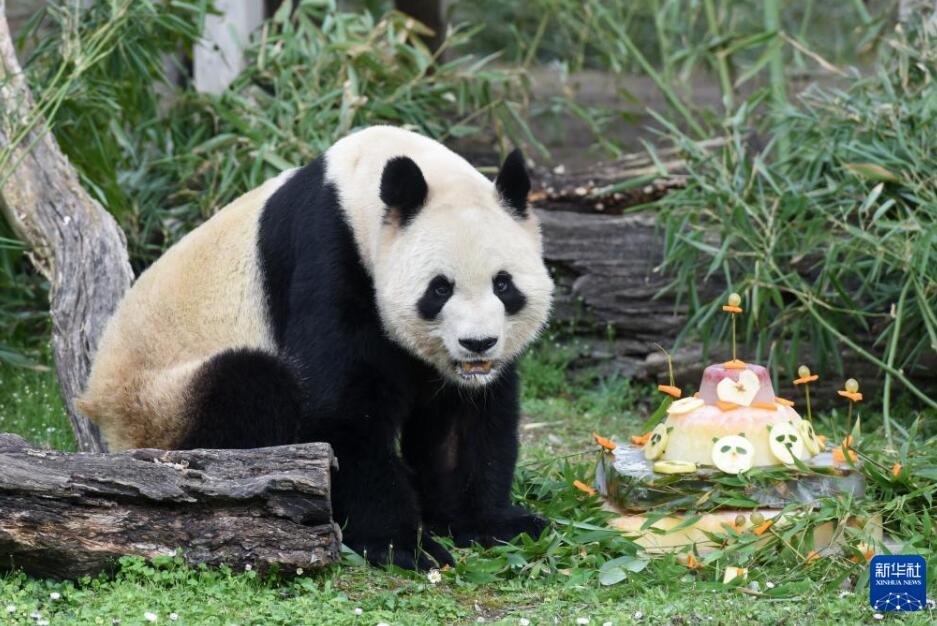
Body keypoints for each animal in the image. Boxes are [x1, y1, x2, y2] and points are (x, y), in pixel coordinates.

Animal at [78, 124, 556, 568]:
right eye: (440, 289)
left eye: (503, 284)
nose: (478, 344)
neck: (361, 191)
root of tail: (98, 407)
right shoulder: (329, 255)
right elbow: (343, 407)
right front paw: (402, 545)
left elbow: (464, 420)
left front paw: (489, 522)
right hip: (158, 404)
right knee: (249, 386)